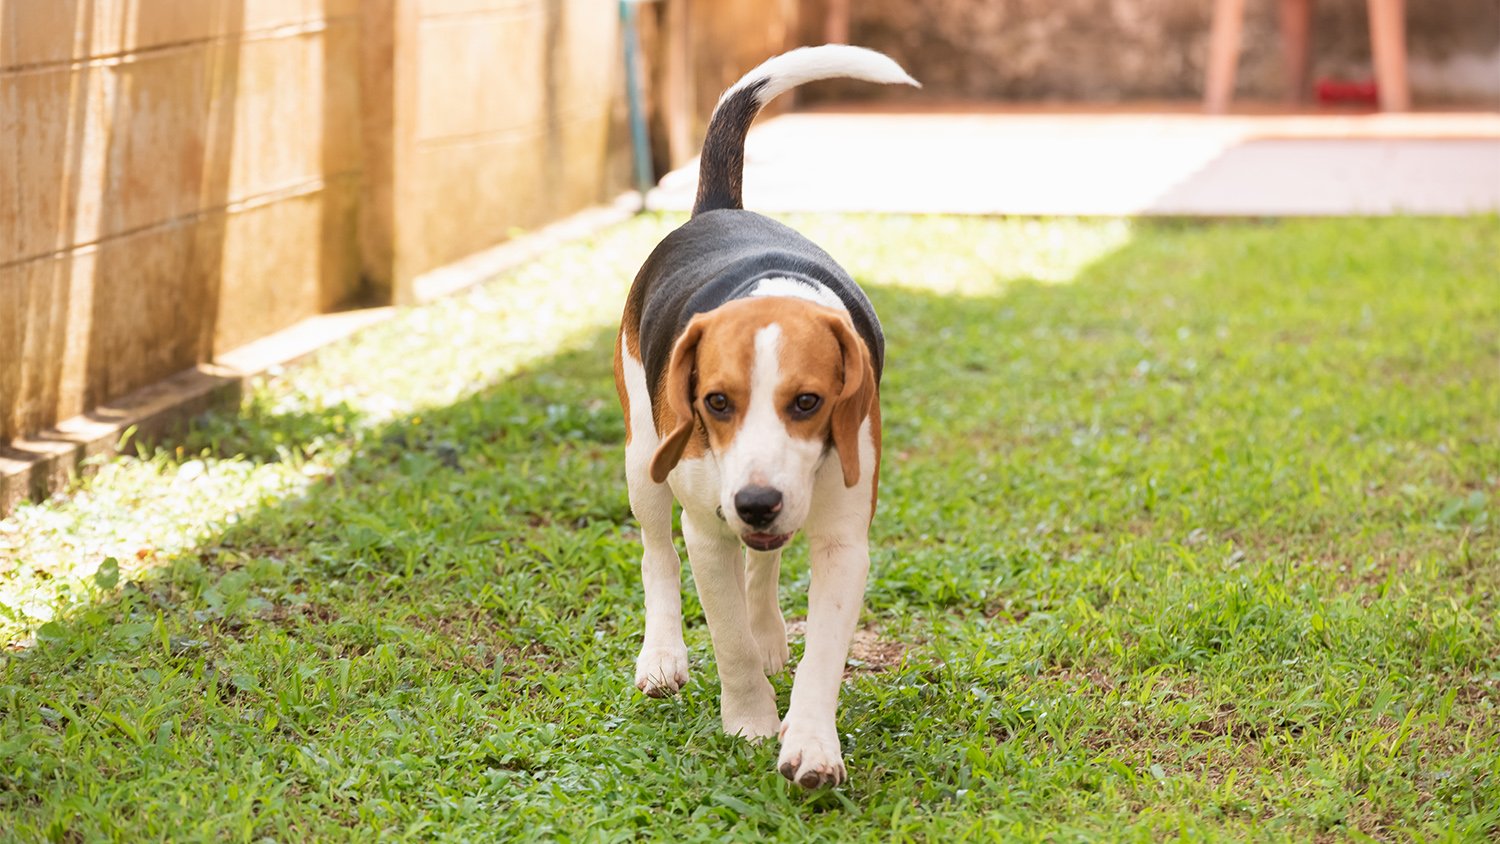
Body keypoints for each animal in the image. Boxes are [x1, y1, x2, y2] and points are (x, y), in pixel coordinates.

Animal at [609, 44, 912, 785]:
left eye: (809, 403)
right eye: (715, 402)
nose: (755, 502)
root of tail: (719, 208)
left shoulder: (843, 540)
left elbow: (823, 652)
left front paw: (811, 743)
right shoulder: (707, 531)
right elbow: (728, 640)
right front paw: (749, 722)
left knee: (764, 566)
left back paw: (771, 628)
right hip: (643, 460)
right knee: (657, 554)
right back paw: (663, 655)